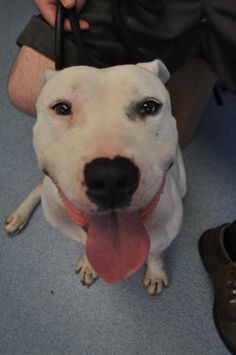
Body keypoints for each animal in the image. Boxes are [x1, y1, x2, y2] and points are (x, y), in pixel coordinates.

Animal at [4, 60, 186, 294]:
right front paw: (89, 264)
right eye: (62, 108)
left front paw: (155, 273)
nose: (110, 176)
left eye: (149, 107)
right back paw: (19, 215)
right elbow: (86, 244)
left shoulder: (167, 230)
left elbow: (156, 253)